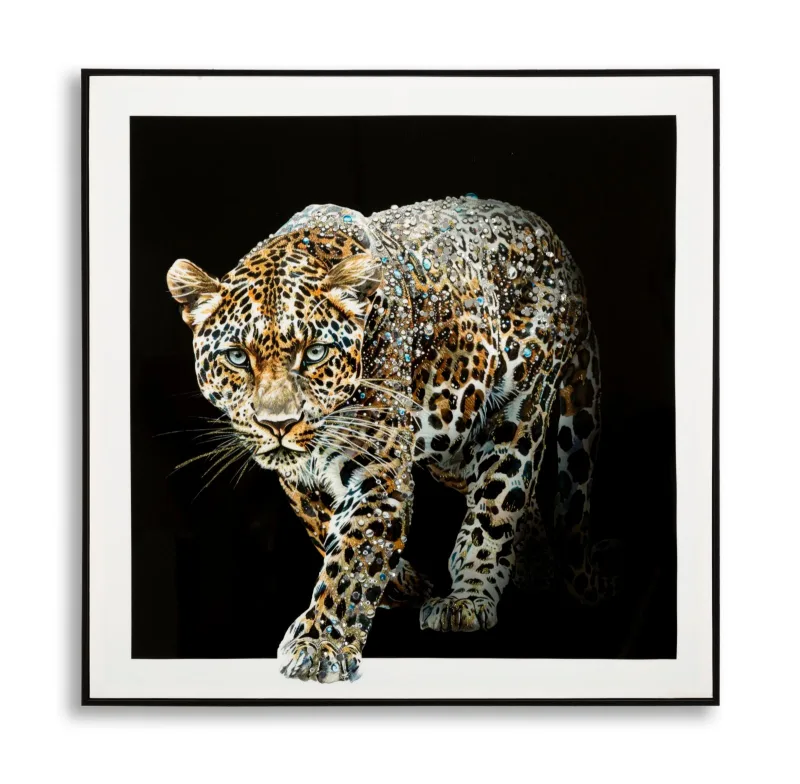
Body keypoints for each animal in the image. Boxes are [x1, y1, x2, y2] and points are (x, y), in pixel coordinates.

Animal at [167, 196, 609, 683]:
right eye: (237, 358)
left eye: (315, 353)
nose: (278, 424)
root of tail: (555, 240)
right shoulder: (299, 479)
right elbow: (324, 526)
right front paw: (402, 584)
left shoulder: (380, 473)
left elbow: (352, 558)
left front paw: (319, 643)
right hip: (452, 439)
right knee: (513, 498)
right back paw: (534, 573)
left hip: (521, 405)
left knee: (498, 499)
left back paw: (469, 597)